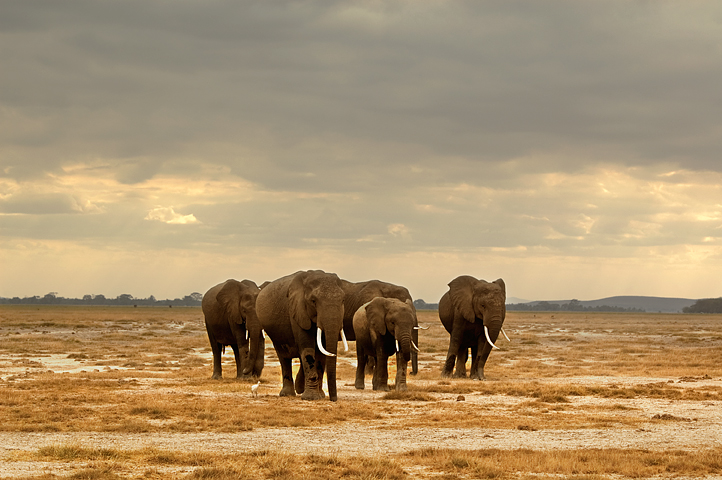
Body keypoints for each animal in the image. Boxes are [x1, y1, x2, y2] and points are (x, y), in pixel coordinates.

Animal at [255, 270, 348, 402]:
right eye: (313, 301)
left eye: (343, 300)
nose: (333, 399)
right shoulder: (297, 310)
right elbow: (307, 349)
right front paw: (311, 398)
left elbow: (322, 351)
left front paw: (320, 396)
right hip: (275, 334)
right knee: (284, 358)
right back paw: (288, 394)